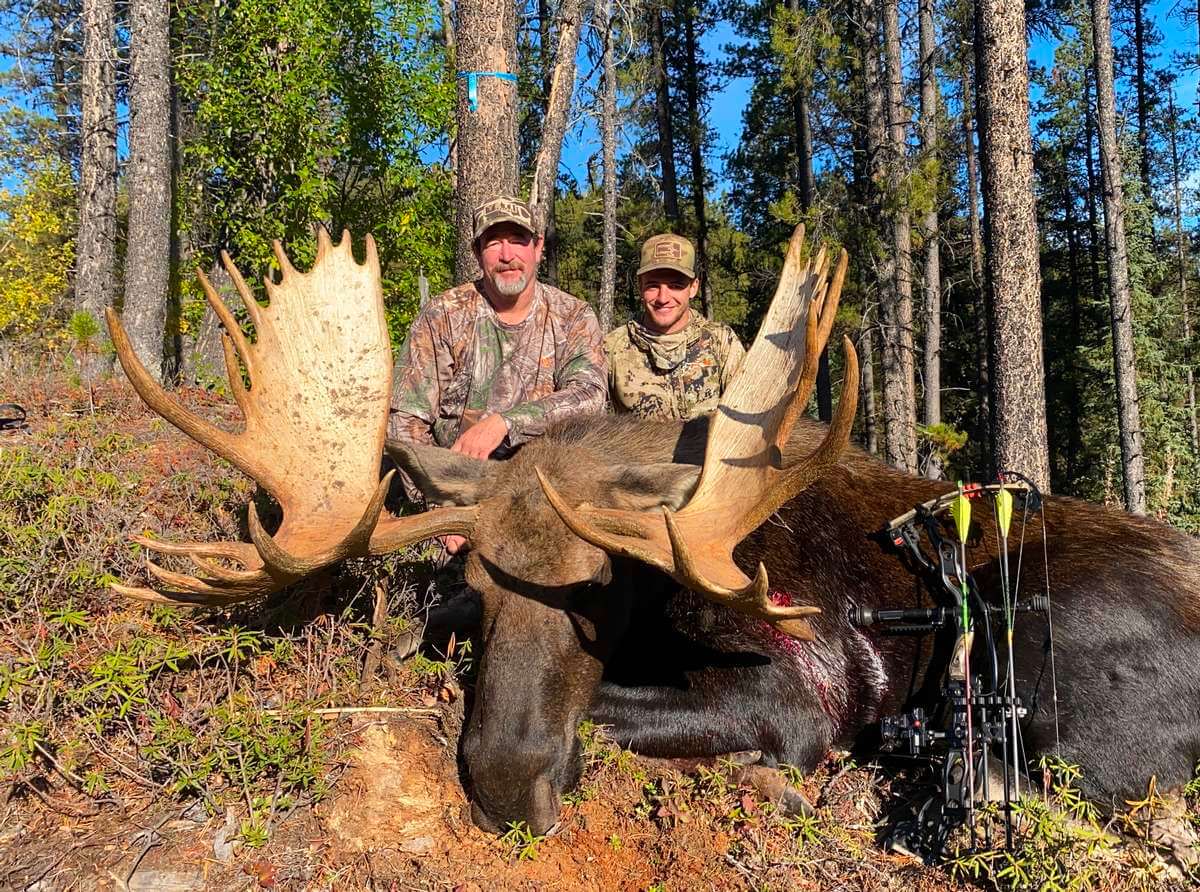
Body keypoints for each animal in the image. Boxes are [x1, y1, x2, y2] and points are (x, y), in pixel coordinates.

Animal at [105, 227, 1200, 844]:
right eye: (480, 591)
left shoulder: (804, 687)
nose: (504, 786)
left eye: (605, 591)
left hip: (1039, 641)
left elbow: (612, 711)